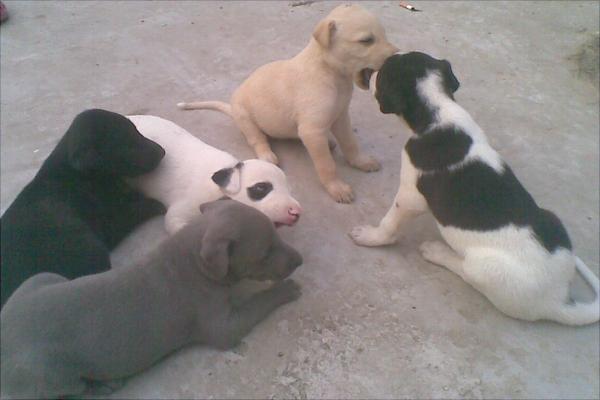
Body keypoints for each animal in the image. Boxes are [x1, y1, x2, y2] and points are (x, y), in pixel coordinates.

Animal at [0, 198, 300, 398]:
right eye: (264, 253)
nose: (300, 260)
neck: (191, 258)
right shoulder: (222, 327)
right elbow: (256, 305)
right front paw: (287, 290)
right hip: (45, 372)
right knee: (74, 389)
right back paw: (105, 384)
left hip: (40, 278)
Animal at [1, 108, 165, 304]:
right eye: (126, 141)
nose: (163, 151)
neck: (78, 175)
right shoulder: (108, 226)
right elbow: (136, 207)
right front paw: (157, 204)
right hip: (88, 248)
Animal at [180, 3, 400, 203]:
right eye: (367, 40)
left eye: (383, 34)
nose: (397, 56)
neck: (329, 72)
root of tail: (232, 109)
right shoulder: (312, 130)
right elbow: (327, 165)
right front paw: (336, 188)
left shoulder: (340, 117)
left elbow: (350, 143)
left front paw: (360, 162)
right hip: (245, 117)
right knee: (257, 138)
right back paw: (267, 154)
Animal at [350, 51, 596, 324]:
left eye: (382, 72)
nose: (369, 72)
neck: (437, 114)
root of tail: (558, 299)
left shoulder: (410, 195)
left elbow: (389, 223)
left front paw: (371, 236)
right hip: (551, 218)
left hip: (483, 267)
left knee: (465, 270)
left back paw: (437, 252)